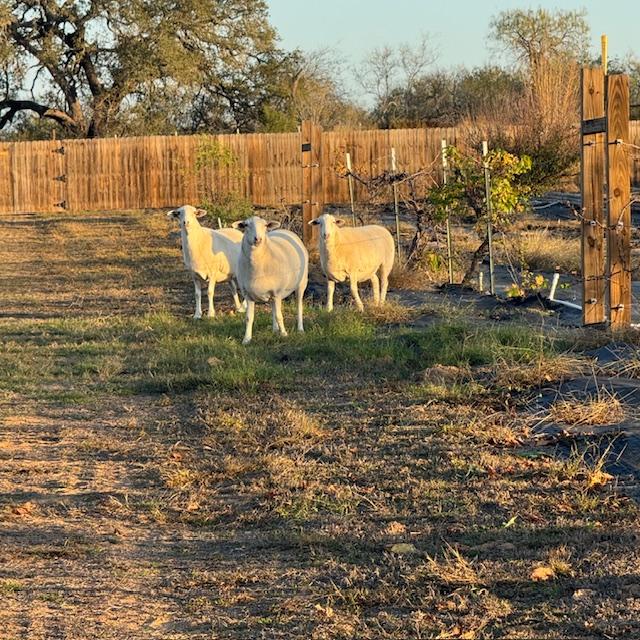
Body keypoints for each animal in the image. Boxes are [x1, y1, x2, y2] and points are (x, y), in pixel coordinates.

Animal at [232, 216, 308, 344]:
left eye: (265, 225)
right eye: (246, 225)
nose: (258, 239)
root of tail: (286, 230)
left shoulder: (277, 292)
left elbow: (279, 315)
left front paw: (284, 334)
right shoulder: (248, 295)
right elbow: (249, 318)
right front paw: (246, 339)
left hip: (301, 283)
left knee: (299, 306)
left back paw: (300, 329)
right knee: (273, 307)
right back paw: (275, 329)